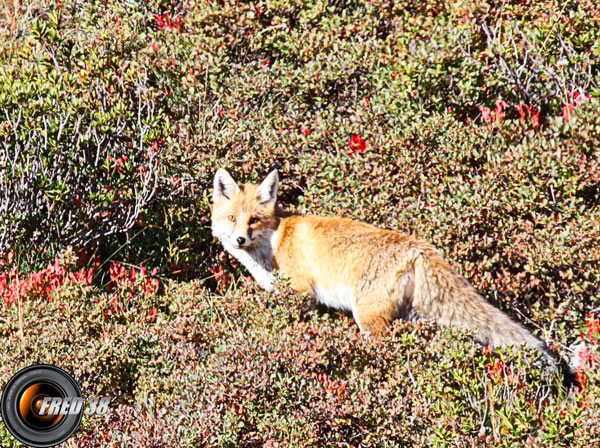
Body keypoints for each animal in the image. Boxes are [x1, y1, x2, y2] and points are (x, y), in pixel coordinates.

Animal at [213, 168, 568, 374]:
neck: (274, 239)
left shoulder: (301, 292)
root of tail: (419, 246)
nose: (240, 238)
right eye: (232, 218)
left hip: (368, 319)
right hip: (409, 316)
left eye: (253, 220)